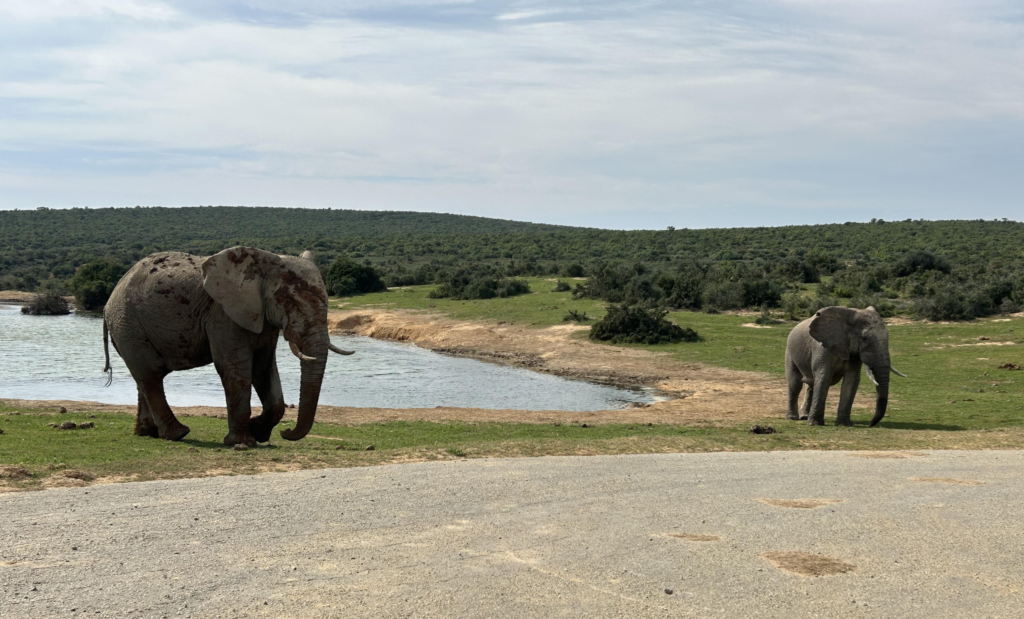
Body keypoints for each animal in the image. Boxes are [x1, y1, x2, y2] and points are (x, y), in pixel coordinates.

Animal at [102, 247, 353, 446]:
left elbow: (263, 368)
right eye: (288, 302)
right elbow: (236, 367)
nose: (286, 432)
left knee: (144, 378)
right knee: (151, 375)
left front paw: (258, 433)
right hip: (129, 325)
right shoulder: (223, 314)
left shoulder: (262, 317)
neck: (263, 264)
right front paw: (243, 442)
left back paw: (147, 433)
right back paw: (178, 434)